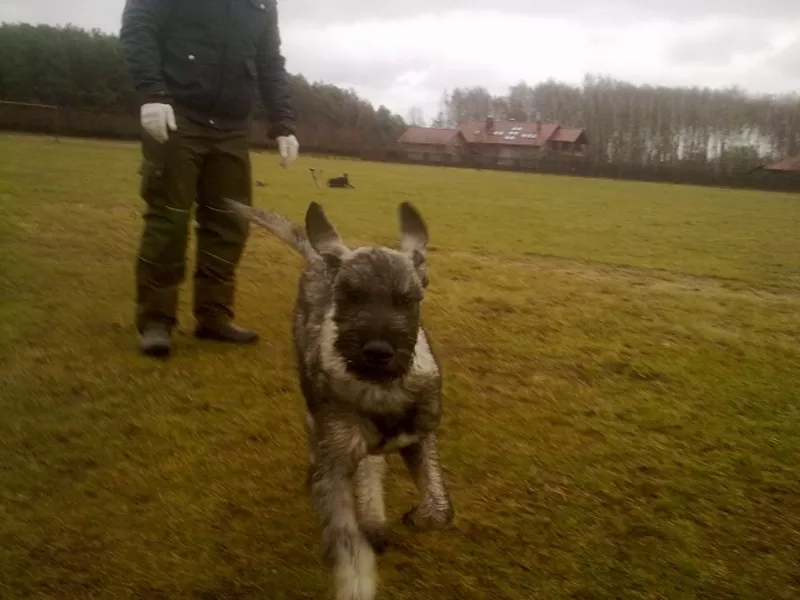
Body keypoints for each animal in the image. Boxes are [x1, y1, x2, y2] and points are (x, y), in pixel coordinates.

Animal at [228, 198, 454, 600]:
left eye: (407, 299)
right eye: (349, 294)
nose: (378, 352)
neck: (382, 389)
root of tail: (321, 258)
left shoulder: (421, 436)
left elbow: (439, 508)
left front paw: (418, 516)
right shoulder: (335, 461)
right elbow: (346, 536)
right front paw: (356, 580)